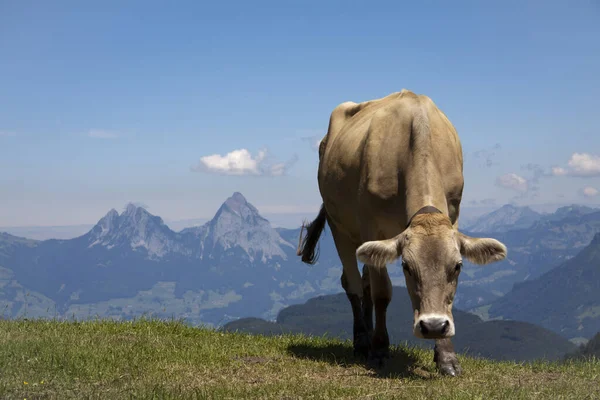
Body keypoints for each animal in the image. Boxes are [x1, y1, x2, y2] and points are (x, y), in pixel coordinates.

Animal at [296, 89, 506, 376]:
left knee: (364, 282)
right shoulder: (371, 226)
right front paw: (380, 350)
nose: (433, 326)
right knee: (353, 284)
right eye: (406, 266)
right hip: (339, 224)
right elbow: (382, 292)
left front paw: (446, 356)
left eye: (458, 266)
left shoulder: (454, 215)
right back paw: (363, 342)